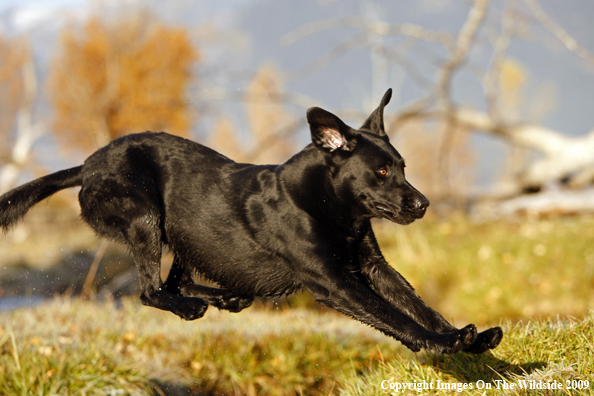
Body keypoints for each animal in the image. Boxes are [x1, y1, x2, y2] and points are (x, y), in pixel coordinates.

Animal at [0, 89, 500, 352]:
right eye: (381, 172)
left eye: (403, 167)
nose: (424, 204)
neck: (326, 203)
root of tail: (87, 166)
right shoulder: (334, 281)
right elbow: (392, 315)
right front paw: (441, 345)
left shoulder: (373, 266)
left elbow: (417, 303)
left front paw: (466, 337)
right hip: (145, 216)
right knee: (150, 290)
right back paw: (192, 306)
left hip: (184, 231)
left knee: (177, 280)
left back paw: (226, 297)